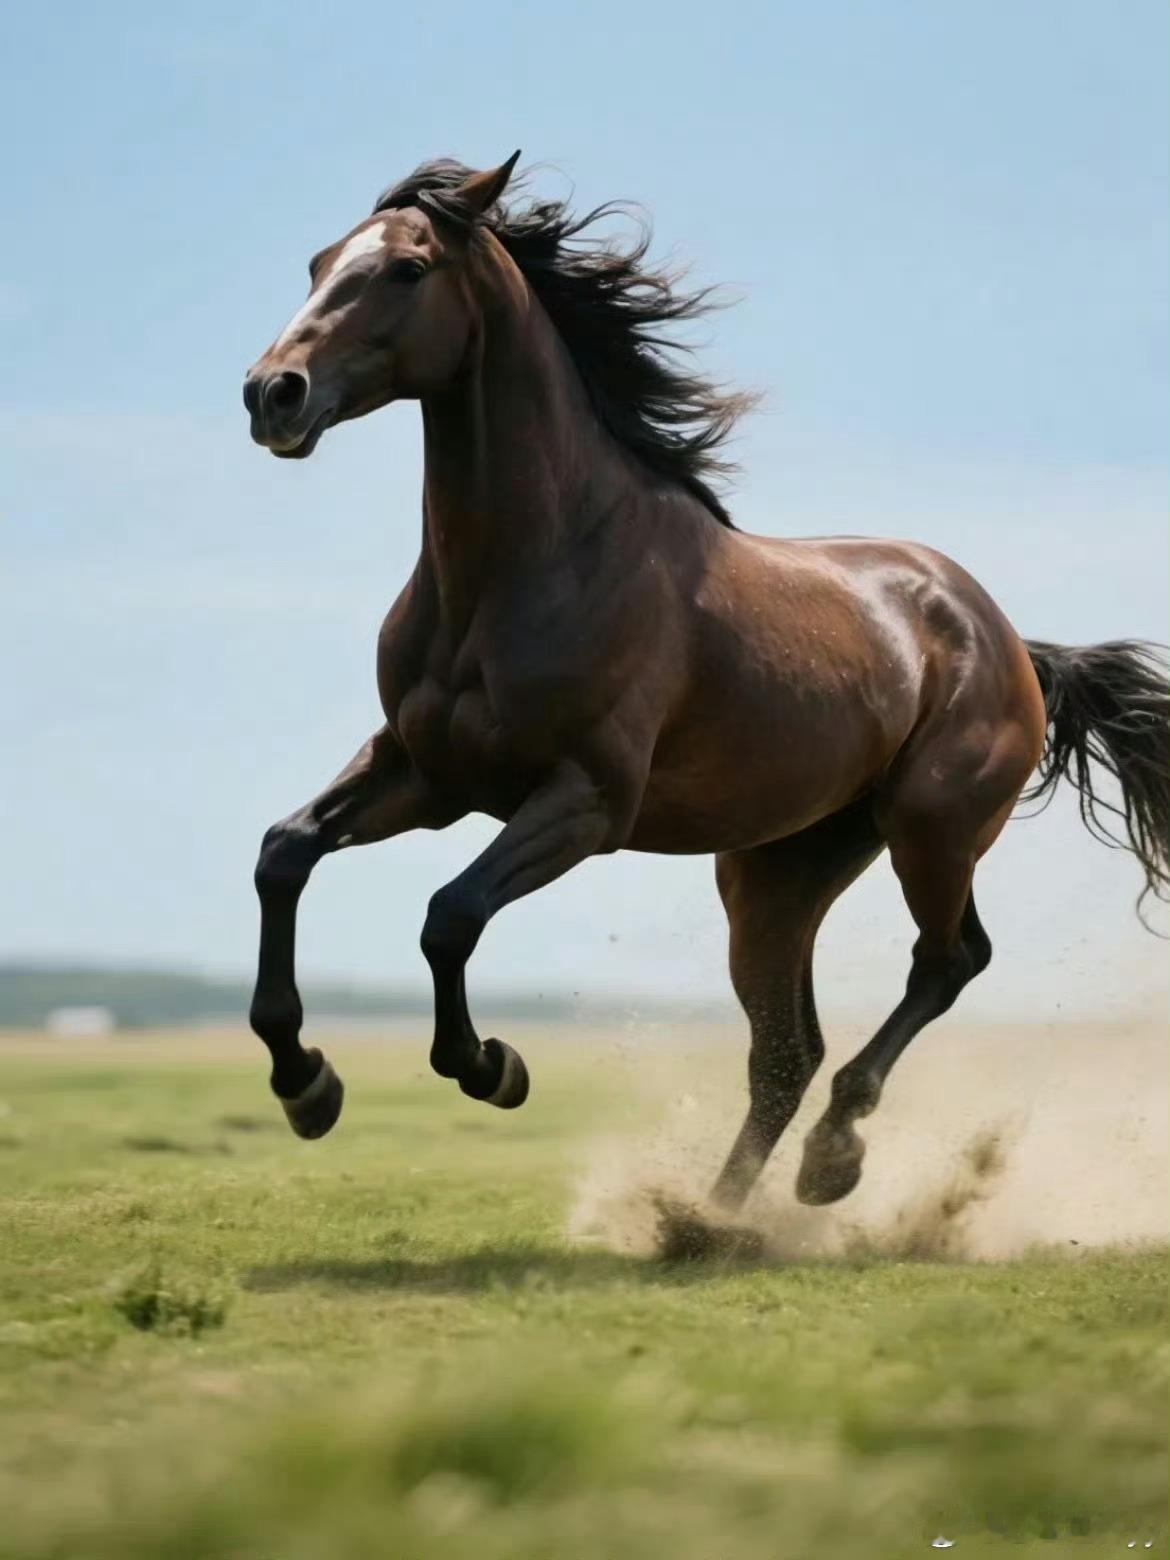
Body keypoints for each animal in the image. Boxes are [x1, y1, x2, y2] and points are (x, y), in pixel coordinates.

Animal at [242, 154, 1168, 1213]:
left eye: (405, 268)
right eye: (318, 262)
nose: (272, 394)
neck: (532, 566)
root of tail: (1010, 641)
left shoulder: (585, 803)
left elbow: (451, 916)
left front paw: (493, 1066)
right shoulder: (426, 775)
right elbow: (285, 853)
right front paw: (306, 1084)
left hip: (931, 830)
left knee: (947, 962)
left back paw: (830, 1159)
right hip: (776, 872)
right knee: (786, 1052)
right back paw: (711, 1220)